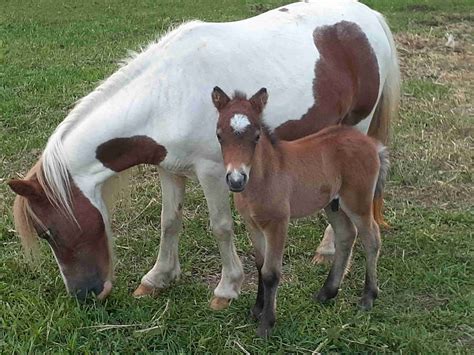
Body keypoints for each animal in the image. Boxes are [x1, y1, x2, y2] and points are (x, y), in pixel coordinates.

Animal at [8, 0, 400, 306]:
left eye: (47, 232)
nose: (85, 294)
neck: (168, 95)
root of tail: (368, 16)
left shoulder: (213, 171)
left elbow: (221, 226)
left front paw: (227, 288)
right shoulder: (169, 168)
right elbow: (169, 222)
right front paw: (157, 278)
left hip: (356, 128)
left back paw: (328, 249)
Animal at [211, 87, 388, 338]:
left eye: (256, 136)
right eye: (219, 135)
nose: (236, 180)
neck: (266, 175)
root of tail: (372, 144)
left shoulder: (278, 223)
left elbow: (271, 272)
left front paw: (266, 324)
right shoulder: (253, 224)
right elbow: (260, 264)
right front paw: (256, 309)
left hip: (358, 201)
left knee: (371, 238)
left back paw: (368, 297)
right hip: (332, 204)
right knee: (346, 235)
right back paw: (327, 292)